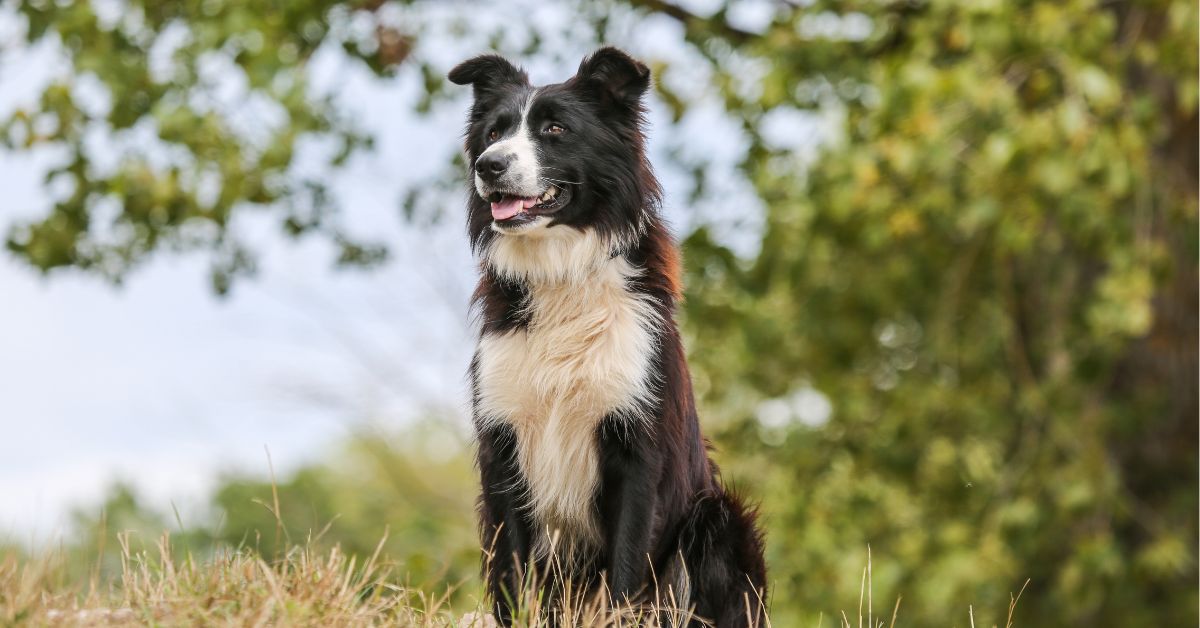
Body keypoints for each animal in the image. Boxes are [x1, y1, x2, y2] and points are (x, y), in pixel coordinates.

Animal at [451, 46, 768, 624]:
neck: (561, 273)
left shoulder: (636, 450)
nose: (489, 166)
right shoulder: (503, 444)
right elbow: (510, 570)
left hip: (719, 519)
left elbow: (625, 565)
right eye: (493, 133)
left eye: (555, 128)